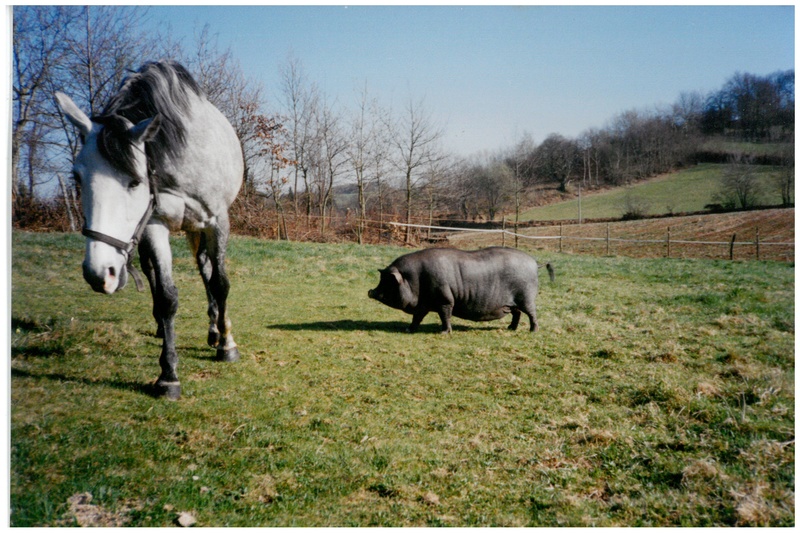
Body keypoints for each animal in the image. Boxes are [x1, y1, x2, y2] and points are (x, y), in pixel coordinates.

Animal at [55, 60, 242, 396]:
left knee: (206, 270)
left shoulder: (217, 220)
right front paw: (168, 374)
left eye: (134, 181)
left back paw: (214, 331)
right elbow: (167, 296)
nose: (99, 273)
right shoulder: (154, 222)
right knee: (153, 272)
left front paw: (227, 344)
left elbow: (220, 283)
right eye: (77, 177)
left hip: (197, 228)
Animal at [368, 246, 552, 332]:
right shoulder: (423, 304)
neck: (415, 280)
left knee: (532, 313)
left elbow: (445, 315)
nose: (370, 291)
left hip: (526, 297)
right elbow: (417, 318)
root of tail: (535, 263)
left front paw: (444, 333)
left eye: (388, 281)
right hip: (513, 302)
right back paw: (510, 328)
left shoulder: (445, 299)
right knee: (517, 314)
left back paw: (533, 331)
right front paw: (408, 329)